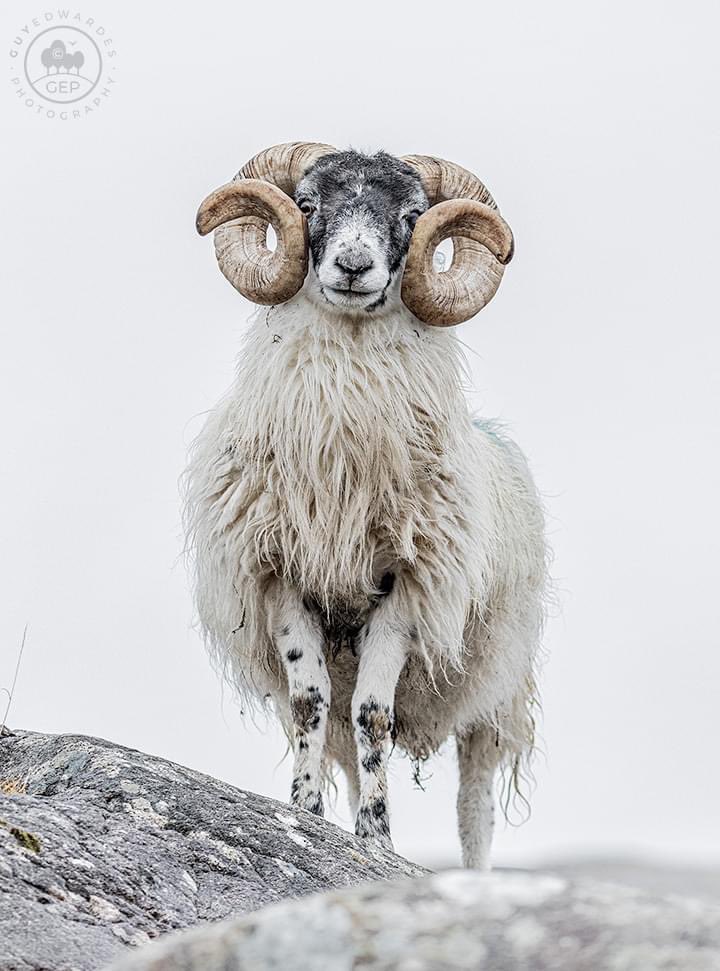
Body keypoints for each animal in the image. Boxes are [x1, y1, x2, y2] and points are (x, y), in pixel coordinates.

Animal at [185, 142, 547, 868]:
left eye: (410, 215)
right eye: (306, 205)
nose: (354, 266)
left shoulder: (407, 584)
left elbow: (375, 715)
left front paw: (377, 838)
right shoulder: (283, 577)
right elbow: (312, 706)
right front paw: (305, 815)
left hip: (496, 693)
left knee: (474, 803)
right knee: (348, 748)